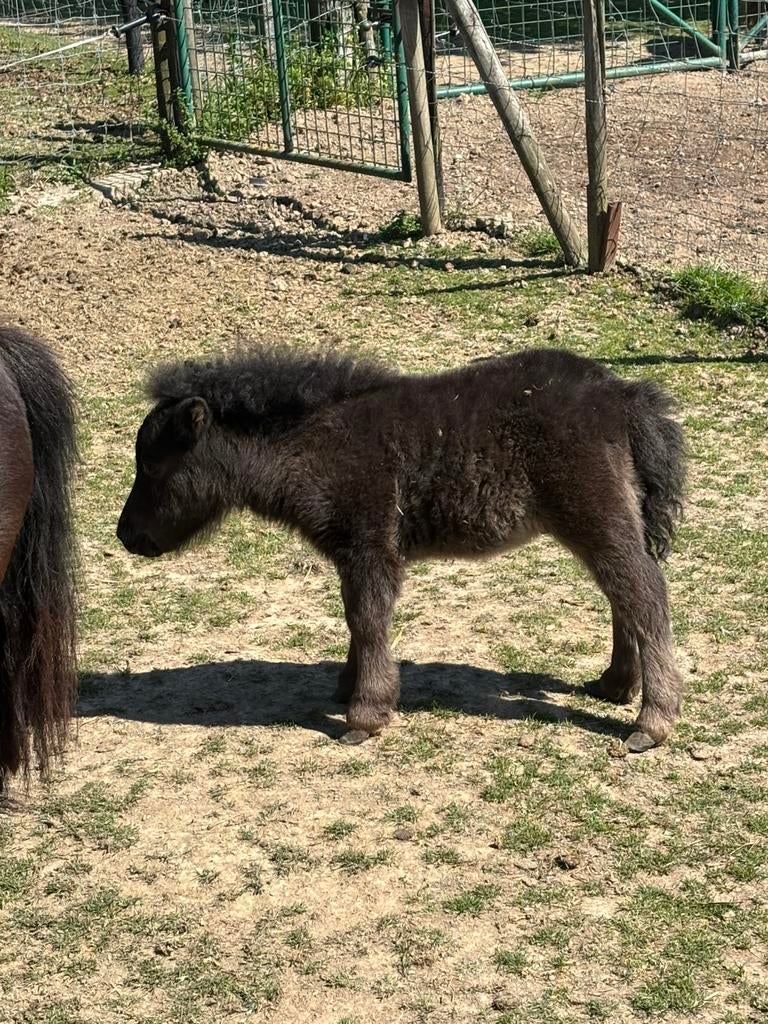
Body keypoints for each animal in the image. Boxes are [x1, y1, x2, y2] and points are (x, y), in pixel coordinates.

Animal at [117, 345, 686, 753]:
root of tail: (622, 394)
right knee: (622, 594)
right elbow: (357, 620)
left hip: (593, 514)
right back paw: (615, 685)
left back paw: (651, 721)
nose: (127, 535)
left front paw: (364, 715)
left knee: (643, 592)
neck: (314, 442)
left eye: (152, 463)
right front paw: (348, 686)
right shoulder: (356, 555)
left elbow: (368, 617)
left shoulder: (370, 548)